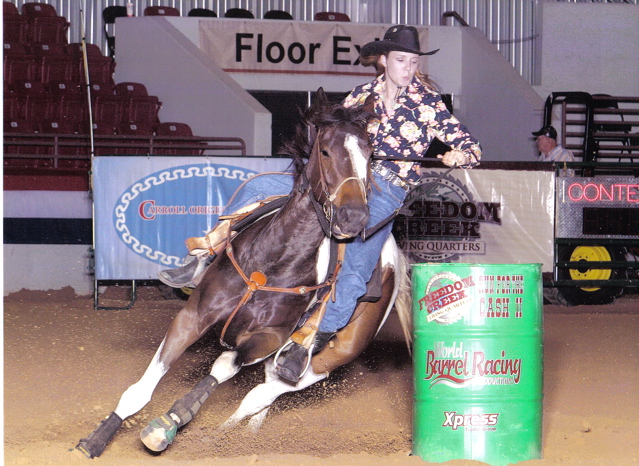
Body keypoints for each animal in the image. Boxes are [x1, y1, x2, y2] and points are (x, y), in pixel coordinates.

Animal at [77, 89, 412, 456]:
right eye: (325, 150)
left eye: (369, 153)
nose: (354, 217)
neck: (272, 262)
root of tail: (393, 258)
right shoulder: (193, 315)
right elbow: (141, 388)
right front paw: (97, 438)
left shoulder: (268, 338)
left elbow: (225, 365)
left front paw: (169, 422)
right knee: (262, 398)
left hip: (330, 357)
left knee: (261, 395)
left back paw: (218, 439)